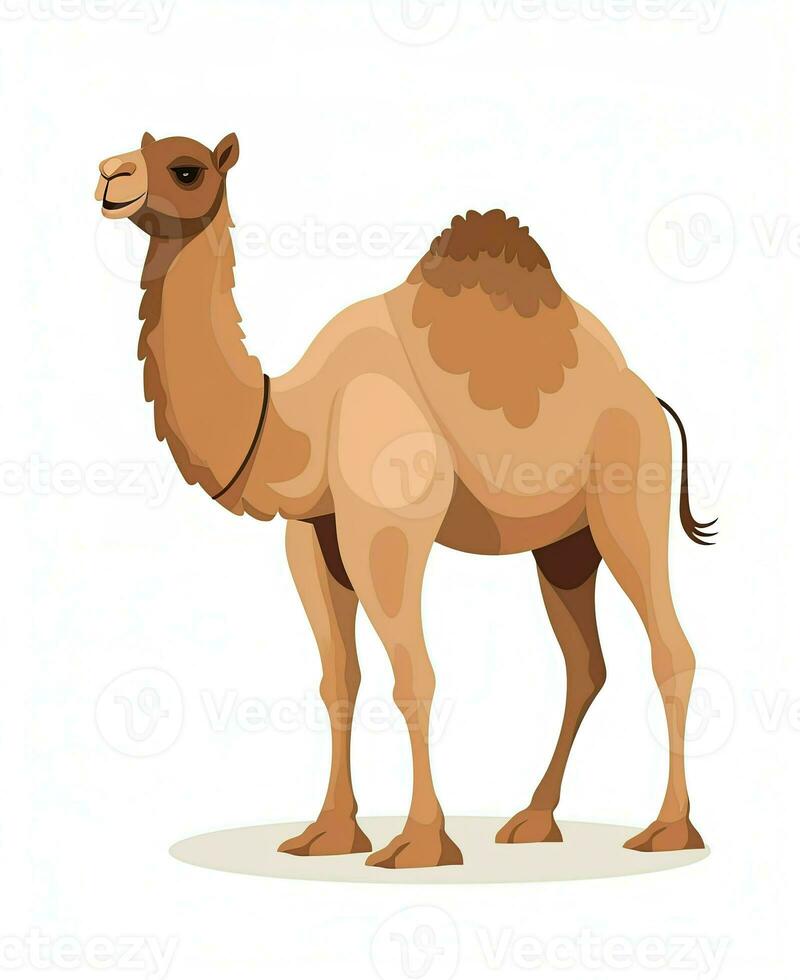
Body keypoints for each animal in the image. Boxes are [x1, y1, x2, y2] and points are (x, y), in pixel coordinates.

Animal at [95, 132, 714, 869]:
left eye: (186, 169)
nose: (110, 176)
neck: (298, 418)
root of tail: (651, 398)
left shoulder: (387, 524)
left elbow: (413, 675)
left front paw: (419, 842)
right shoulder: (314, 533)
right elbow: (340, 680)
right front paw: (327, 834)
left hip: (630, 488)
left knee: (671, 649)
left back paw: (668, 829)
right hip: (565, 545)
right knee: (584, 664)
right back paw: (533, 820)